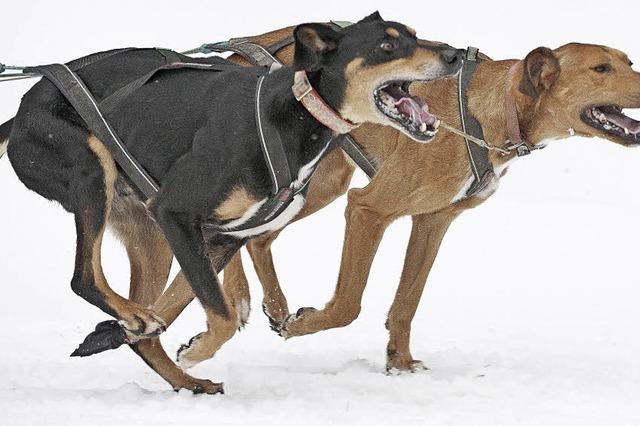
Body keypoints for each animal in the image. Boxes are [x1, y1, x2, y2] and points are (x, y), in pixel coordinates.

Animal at [0, 13, 460, 392]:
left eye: (415, 34)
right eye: (386, 46)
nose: (455, 55)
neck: (291, 114)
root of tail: (20, 113)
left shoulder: (222, 237)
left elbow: (205, 301)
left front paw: (188, 348)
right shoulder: (176, 212)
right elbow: (219, 314)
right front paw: (198, 348)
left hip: (150, 236)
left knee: (143, 333)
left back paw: (184, 379)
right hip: (92, 173)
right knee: (84, 277)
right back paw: (141, 325)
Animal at [97, 28, 640, 392]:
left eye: (627, 60)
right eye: (601, 70)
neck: (488, 110)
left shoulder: (433, 221)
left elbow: (406, 302)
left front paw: (399, 364)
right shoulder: (367, 209)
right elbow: (348, 304)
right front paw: (305, 324)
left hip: (320, 183)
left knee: (256, 239)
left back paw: (258, 307)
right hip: (309, 183)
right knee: (236, 240)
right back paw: (231, 316)